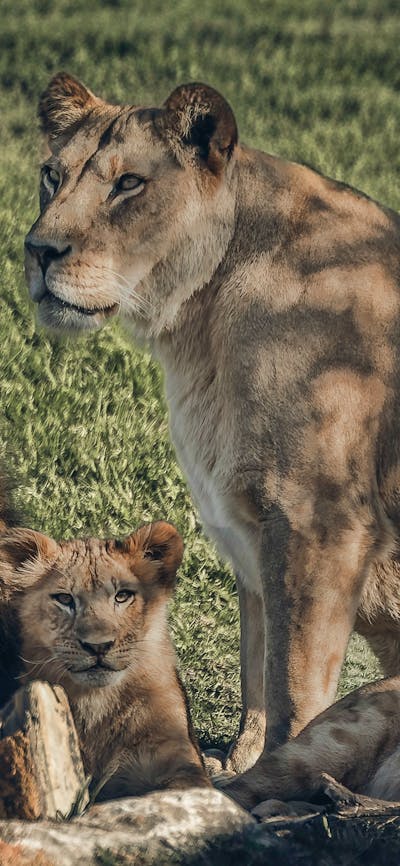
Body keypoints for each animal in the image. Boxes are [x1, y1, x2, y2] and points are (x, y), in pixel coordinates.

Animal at [24, 73, 400, 806]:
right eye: (52, 177)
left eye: (128, 185)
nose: (38, 252)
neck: (198, 325)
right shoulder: (248, 522)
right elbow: (258, 658)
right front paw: (242, 758)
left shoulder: (320, 521)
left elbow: (293, 680)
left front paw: (266, 771)